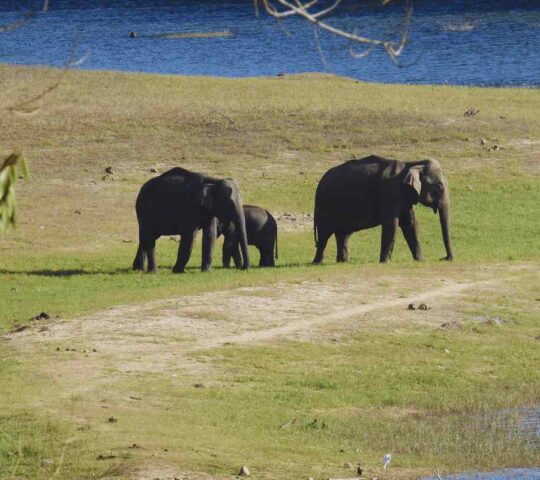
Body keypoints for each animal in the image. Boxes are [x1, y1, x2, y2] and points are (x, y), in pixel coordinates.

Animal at [314, 156, 454, 264]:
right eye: (440, 186)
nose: (444, 258)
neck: (411, 163)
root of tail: (320, 182)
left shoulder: (405, 197)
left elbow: (411, 224)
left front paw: (421, 260)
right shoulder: (391, 192)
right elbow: (391, 223)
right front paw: (385, 262)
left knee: (343, 235)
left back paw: (343, 262)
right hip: (325, 206)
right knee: (324, 234)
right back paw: (318, 263)